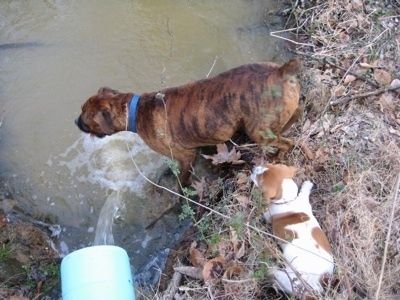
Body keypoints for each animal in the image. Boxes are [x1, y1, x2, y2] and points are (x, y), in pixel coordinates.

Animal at [75, 57, 302, 186]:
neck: (135, 110)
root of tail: (280, 71)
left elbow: (182, 180)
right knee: (294, 117)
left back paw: (276, 158)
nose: (75, 121)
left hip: (258, 132)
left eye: (85, 116)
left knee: (287, 144)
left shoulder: (187, 156)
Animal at [252, 165, 332, 296]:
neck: (289, 200)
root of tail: (320, 280)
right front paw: (307, 185)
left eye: (260, 179)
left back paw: (272, 270)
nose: (253, 169)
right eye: (269, 164)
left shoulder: (268, 215)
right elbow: (303, 193)